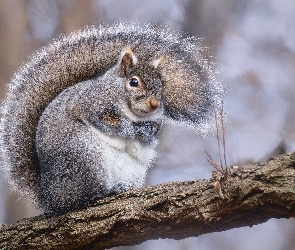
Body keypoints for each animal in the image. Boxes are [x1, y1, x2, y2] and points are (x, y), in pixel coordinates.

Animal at [0, 22, 224, 215]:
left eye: (162, 85)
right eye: (133, 82)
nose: (155, 104)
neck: (132, 111)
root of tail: (50, 196)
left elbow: (153, 130)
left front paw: (149, 131)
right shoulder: (92, 105)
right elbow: (113, 123)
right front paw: (134, 129)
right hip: (82, 154)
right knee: (83, 197)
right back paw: (107, 191)